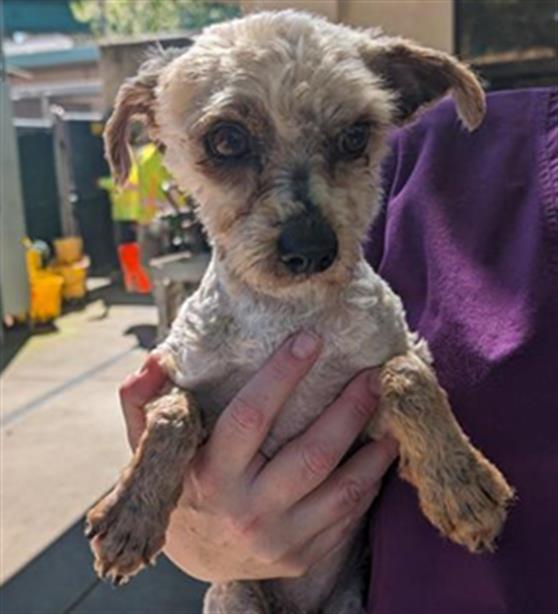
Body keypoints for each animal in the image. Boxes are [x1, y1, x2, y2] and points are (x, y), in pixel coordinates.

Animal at [86, 10, 516, 614]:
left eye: (356, 136)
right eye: (226, 139)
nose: (312, 248)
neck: (290, 317)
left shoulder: (385, 409)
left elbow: (406, 378)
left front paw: (461, 485)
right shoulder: (170, 372)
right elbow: (173, 412)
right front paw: (131, 513)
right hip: (235, 596)